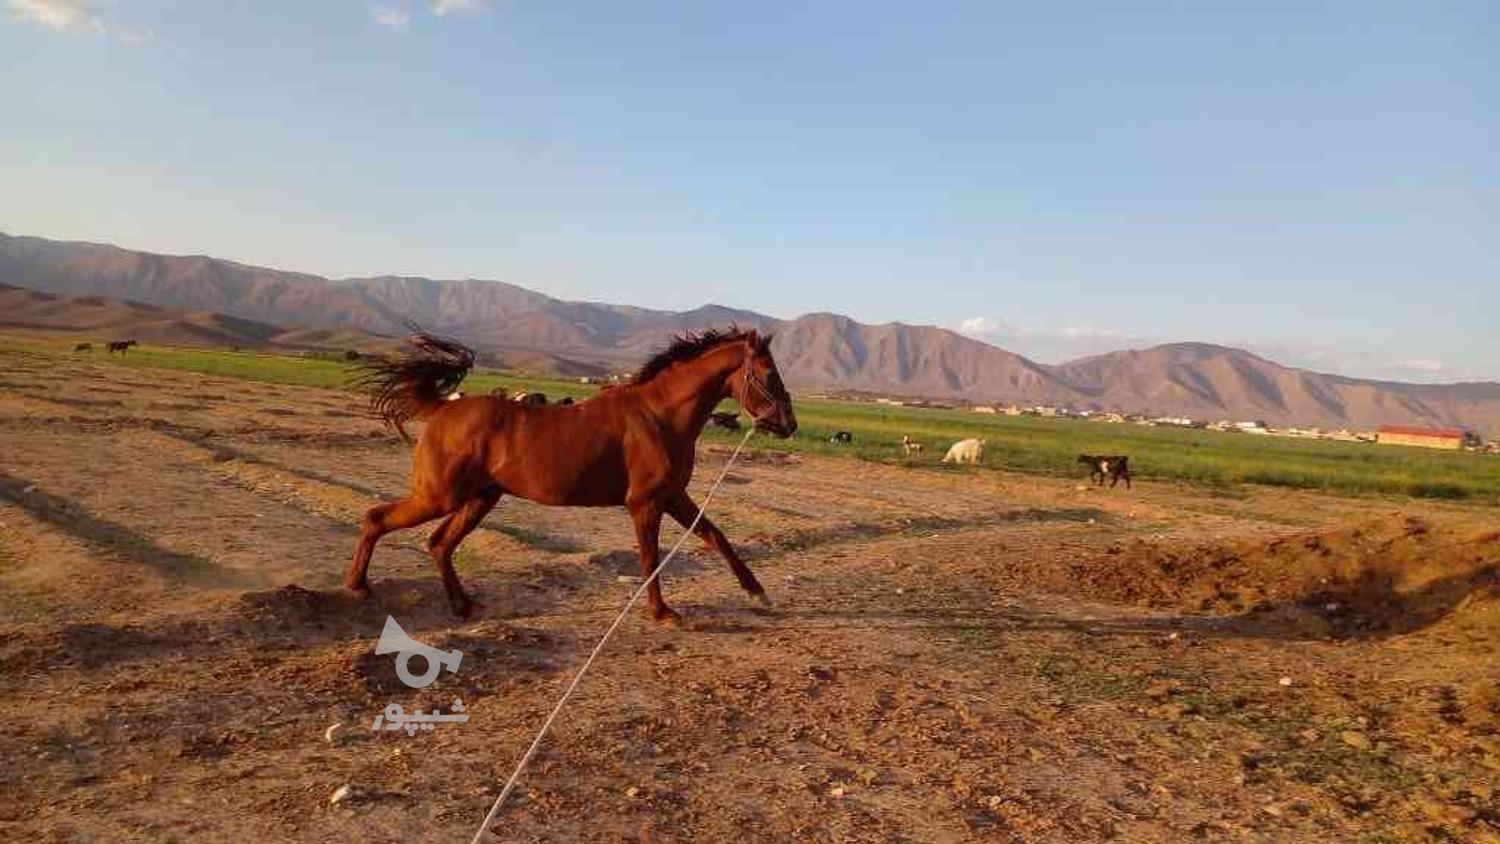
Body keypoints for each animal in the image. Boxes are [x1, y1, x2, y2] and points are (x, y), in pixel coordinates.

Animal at [348, 326, 798, 623]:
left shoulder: (673, 497)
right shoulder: (645, 503)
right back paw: (358, 586)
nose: (788, 424)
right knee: (377, 519)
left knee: (439, 544)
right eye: (769, 373)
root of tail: (443, 406)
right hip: (439, 497)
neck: (659, 415)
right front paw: (662, 612)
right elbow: (650, 557)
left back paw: (463, 606)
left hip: (479, 499)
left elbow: (715, 536)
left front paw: (757, 593)